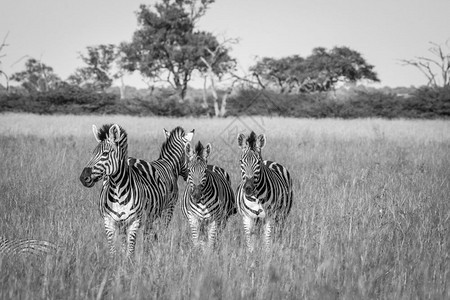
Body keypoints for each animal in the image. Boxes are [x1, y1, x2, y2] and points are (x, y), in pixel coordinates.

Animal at [80, 123, 192, 260]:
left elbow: (133, 248)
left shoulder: (137, 220)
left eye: (105, 153)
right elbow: (115, 251)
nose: (83, 178)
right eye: (93, 153)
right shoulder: (110, 221)